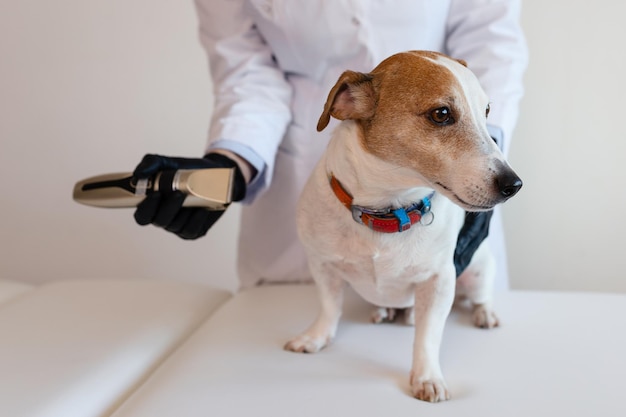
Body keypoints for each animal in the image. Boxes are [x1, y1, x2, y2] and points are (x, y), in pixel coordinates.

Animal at [284, 50, 520, 402]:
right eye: (441, 114)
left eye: (487, 111)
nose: (514, 185)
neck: (388, 210)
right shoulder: (322, 265)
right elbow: (329, 307)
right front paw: (316, 336)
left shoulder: (439, 281)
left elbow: (427, 336)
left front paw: (427, 377)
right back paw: (385, 311)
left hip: (478, 269)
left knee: (480, 295)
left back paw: (481, 313)